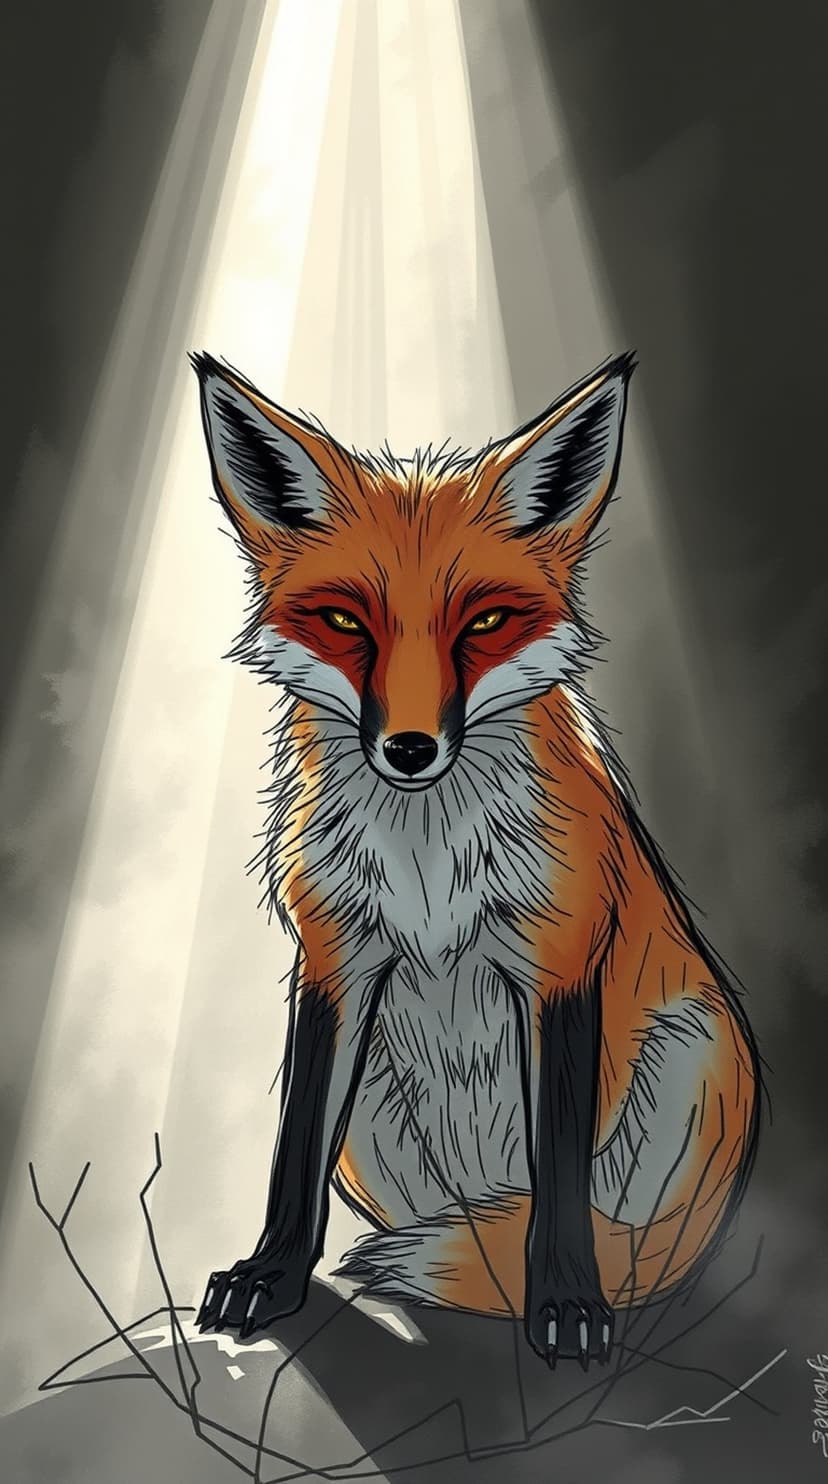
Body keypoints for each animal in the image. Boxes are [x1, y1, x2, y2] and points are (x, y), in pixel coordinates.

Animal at [191, 350, 759, 1368]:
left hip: (694, 1045)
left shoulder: (561, 962)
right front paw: (271, 1276)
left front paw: (567, 1302)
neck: (426, 863)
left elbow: (561, 1180)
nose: (411, 749)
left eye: (486, 623)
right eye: (346, 622)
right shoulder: (334, 961)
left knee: (596, 1228)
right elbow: (294, 1151)